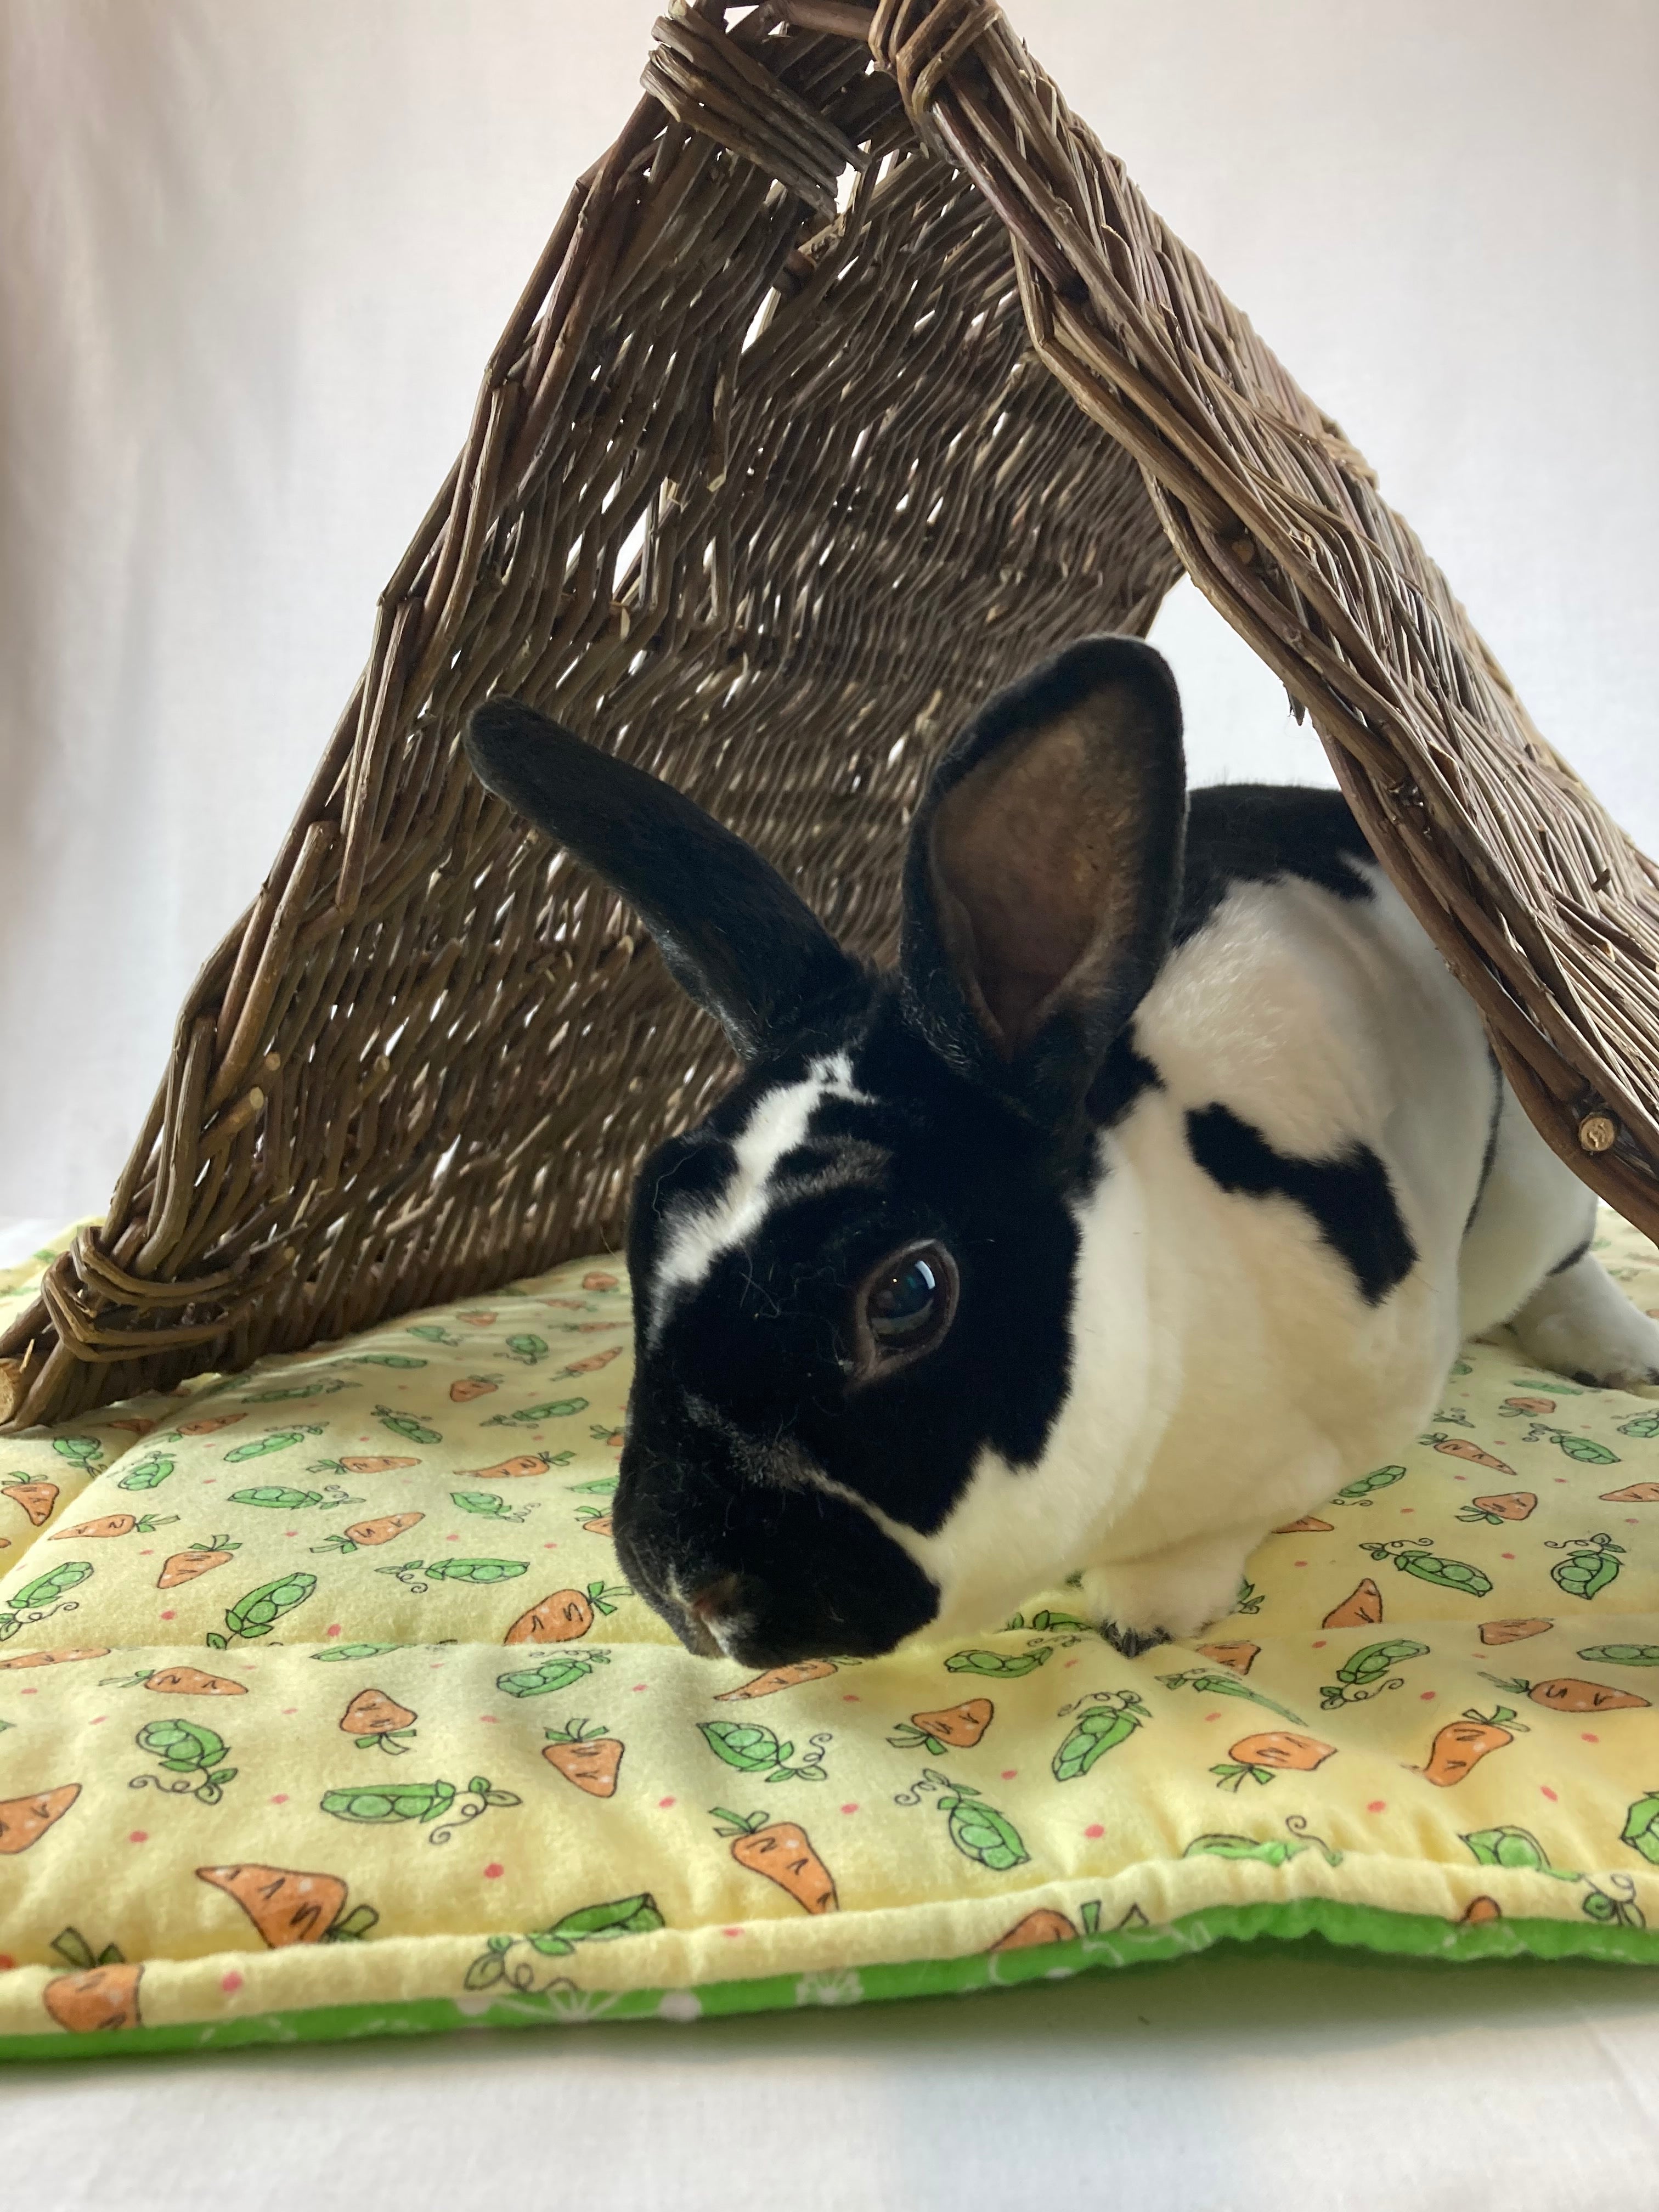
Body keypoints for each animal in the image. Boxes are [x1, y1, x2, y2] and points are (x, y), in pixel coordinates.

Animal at [465, 636, 1659, 1668]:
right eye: (646, 1215)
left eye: (907, 1293)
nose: (687, 1589)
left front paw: (1146, 1613)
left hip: (1537, 1190)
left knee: (1564, 1263)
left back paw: (1618, 1354)